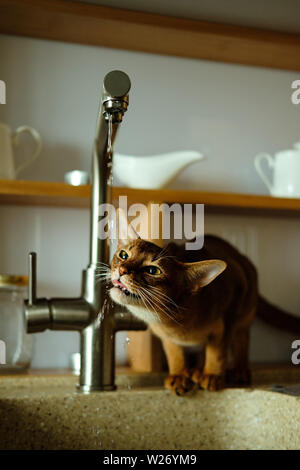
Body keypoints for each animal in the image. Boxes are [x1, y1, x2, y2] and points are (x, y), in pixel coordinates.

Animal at [108, 222, 300, 394]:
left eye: (152, 271)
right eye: (123, 255)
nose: (122, 270)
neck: (173, 322)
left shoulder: (232, 302)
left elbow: (218, 351)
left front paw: (212, 375)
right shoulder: (167, 337)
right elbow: (174, 352)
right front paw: (179, 374)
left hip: (246, 310)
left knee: (242, 338)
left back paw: (235, 370)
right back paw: (193, 371)